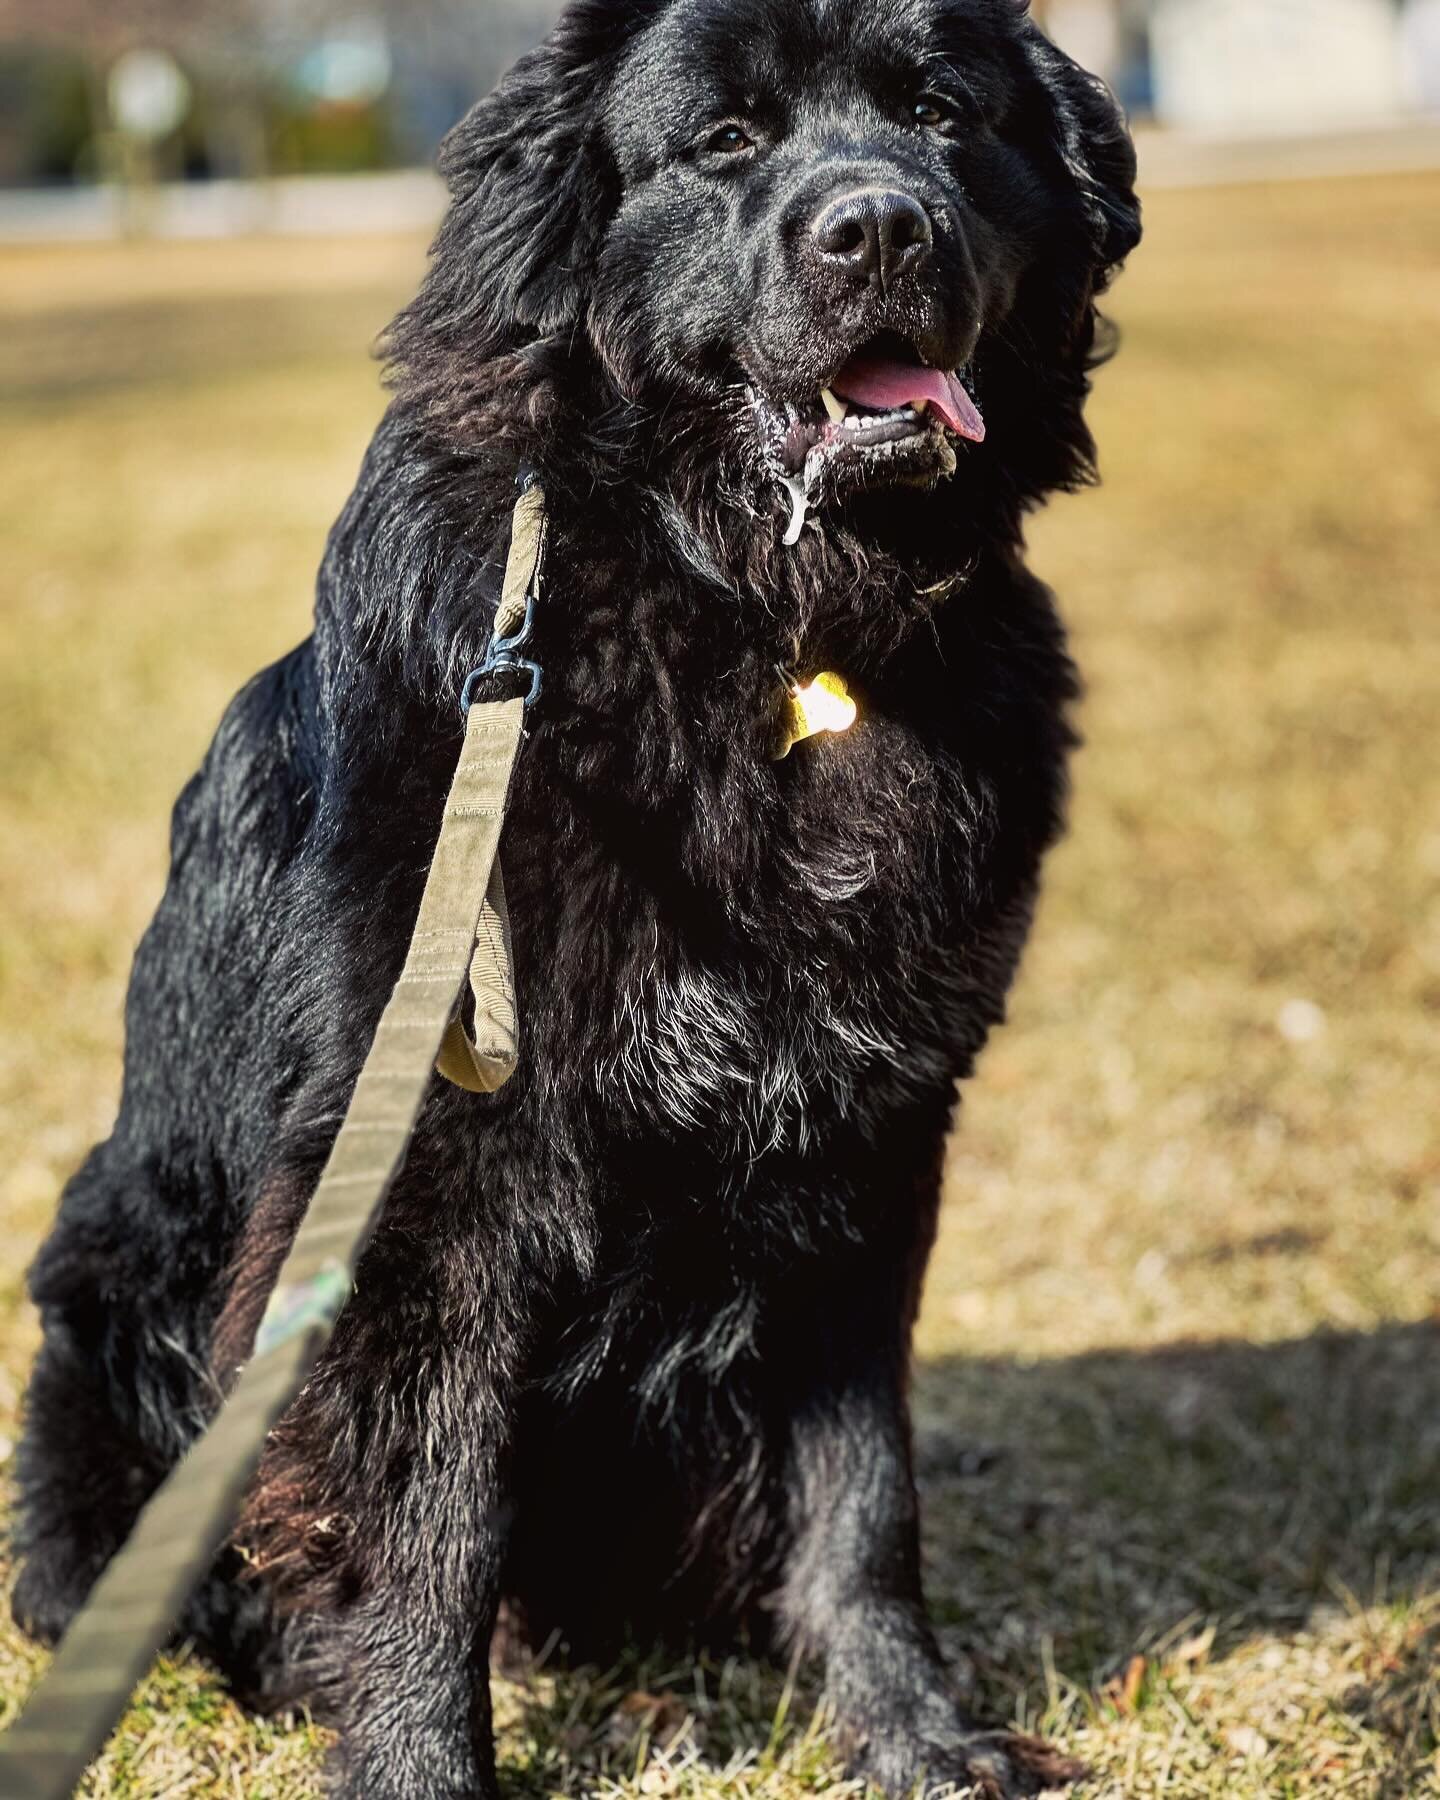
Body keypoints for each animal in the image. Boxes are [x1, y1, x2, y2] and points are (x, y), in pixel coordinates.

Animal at [11, 7, 1137, 1792]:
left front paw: (913, 1735)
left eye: (942, 112)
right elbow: (429, 1512)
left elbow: (861, 1491)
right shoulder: (431, 1169)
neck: (756, 625)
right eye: (727, 140)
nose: (881, 225)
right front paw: (415, 1764)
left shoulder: (870, 1143)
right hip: (111, 1292)